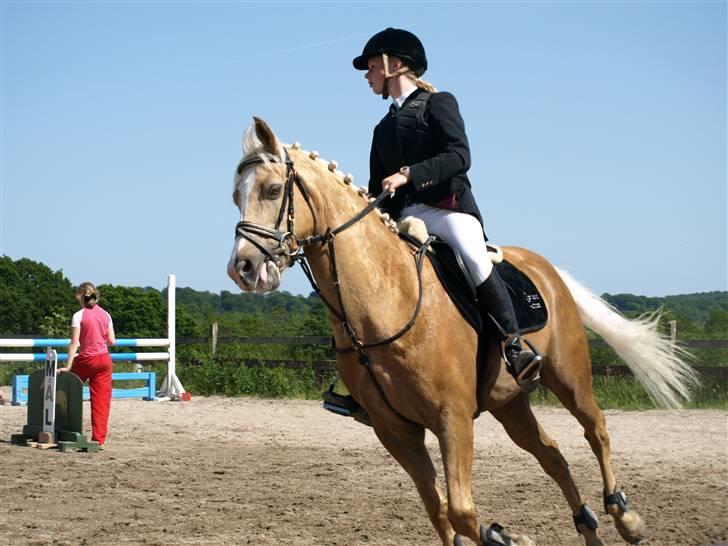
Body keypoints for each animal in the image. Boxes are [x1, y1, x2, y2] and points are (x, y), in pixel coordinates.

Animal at [229, 118, 700, 544]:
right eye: (236, 196)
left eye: (273, 191)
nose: (244, 269)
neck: (387, 298)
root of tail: (545, 269)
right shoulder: (394, 430)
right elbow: (439, 511)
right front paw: (504, 535)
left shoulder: (451, 418)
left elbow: (461, 511)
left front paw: (510, 537)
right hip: (509, 403)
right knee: (552, 455)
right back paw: (587, 528)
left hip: (568, 376)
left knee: (595, 429)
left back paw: (626, 517)